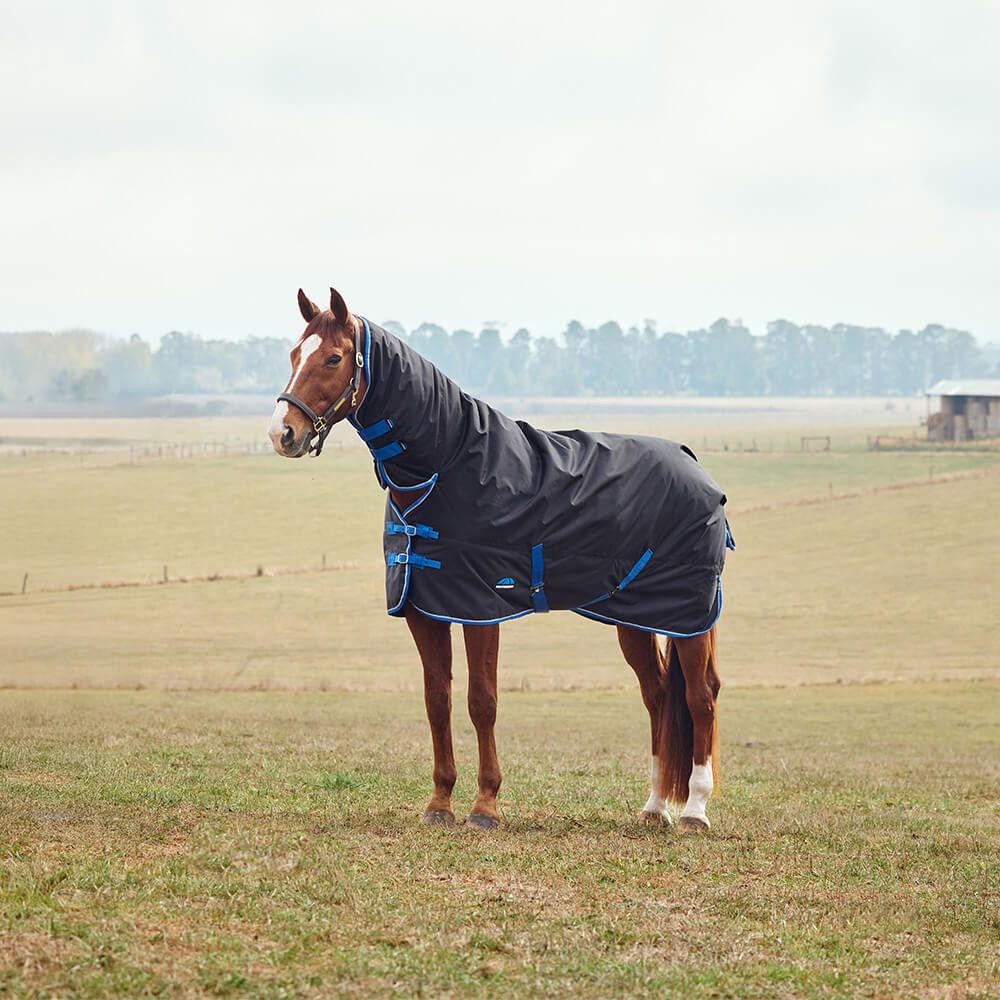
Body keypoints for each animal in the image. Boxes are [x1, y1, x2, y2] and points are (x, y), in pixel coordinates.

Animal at [268, 287, 732, 832]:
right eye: (294, 355)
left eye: (334, 358)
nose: (283, 433)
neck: (445, 466)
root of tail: (694, 464)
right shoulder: (425, 609)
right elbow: (437, 700)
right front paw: (439, 804)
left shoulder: (480, 608)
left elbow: (481, 701)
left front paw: (485, 806)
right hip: (636, 618)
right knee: (658, 695)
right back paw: (656, 807)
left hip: (689, 617)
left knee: (700, 696)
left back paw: (695, 811)